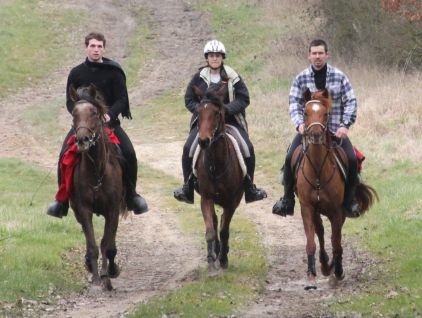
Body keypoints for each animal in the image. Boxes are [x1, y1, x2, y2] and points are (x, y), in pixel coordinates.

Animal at [68, 84, 125, 290]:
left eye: (93, 112)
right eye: (74, 113)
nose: (82, 140)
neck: (97, 170)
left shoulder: (113, 209)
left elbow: (107, 245)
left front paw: (109, 274)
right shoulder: (84, 209)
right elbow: (93, 245)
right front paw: (95, 278)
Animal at [296, 88, 378, 290]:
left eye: (326, 114)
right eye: (305, 112)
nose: (315, 135)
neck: (318, 171)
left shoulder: (336, 211)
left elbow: (337, 241)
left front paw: (338, 272)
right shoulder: (307, 208)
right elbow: (311, 241)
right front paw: (311, 276)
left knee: (334, 236)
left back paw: (332, 267)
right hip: (317, 211)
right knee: (320, 232)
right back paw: (324, 264)